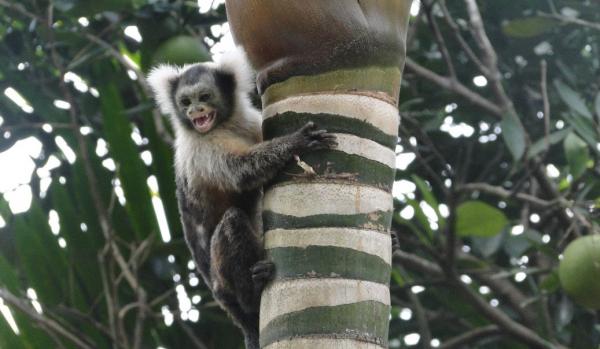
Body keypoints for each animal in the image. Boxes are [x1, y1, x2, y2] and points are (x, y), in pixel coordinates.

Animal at [148, 49, 336, 348]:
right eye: (185, 102)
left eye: (204, 97)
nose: (195, 112)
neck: (226, 125)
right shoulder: (201, 148)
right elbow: (241, 174)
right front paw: (296, 142)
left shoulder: (249, 122)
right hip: (223, 284)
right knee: (233, 220)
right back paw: (252, 294)